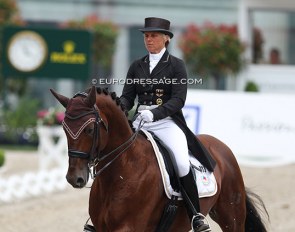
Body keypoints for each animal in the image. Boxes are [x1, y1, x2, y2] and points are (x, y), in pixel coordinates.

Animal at [51, 86, 270, 231]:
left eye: (89, 129)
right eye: (64, 129)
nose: (75, 178)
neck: (122, 171)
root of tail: (221, 147)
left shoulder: (128, 228)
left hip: (231, 216)